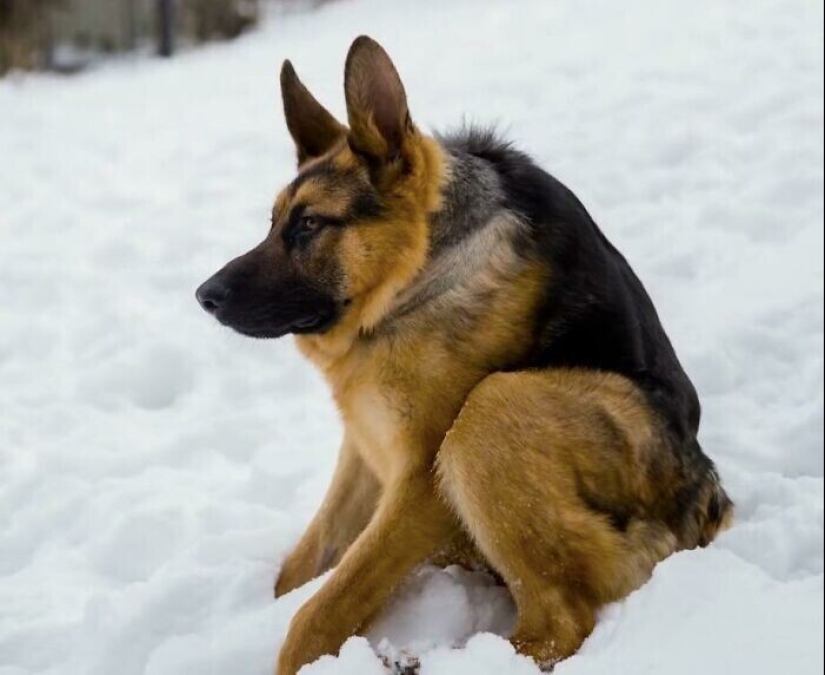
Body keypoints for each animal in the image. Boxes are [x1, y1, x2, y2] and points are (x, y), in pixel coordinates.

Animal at [195, 35, 732, 675]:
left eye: (309, 225)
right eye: (274, 222)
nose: (204, 296)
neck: (418, 273)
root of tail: (705, 505)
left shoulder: (421, 484)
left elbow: (319, 610)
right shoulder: (364, 444)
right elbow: (302, 568)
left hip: (492, 411)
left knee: (560, 621)